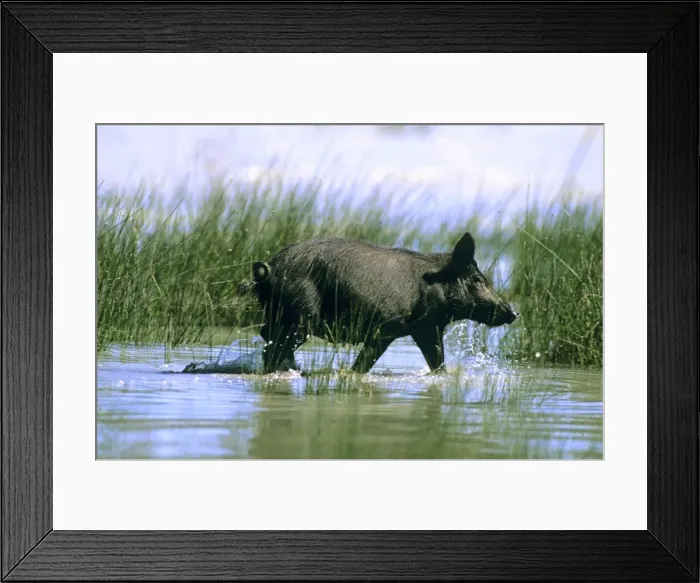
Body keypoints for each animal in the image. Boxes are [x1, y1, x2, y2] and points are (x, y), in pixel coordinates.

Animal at [240, 232, 519, 374]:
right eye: (478, 279)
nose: (514, 312)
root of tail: (268, 270)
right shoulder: (387, 328)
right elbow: (366, 362)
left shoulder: (426, 328)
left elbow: (438, 362)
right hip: (300, 315)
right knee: (272, 344)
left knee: (266, 335)